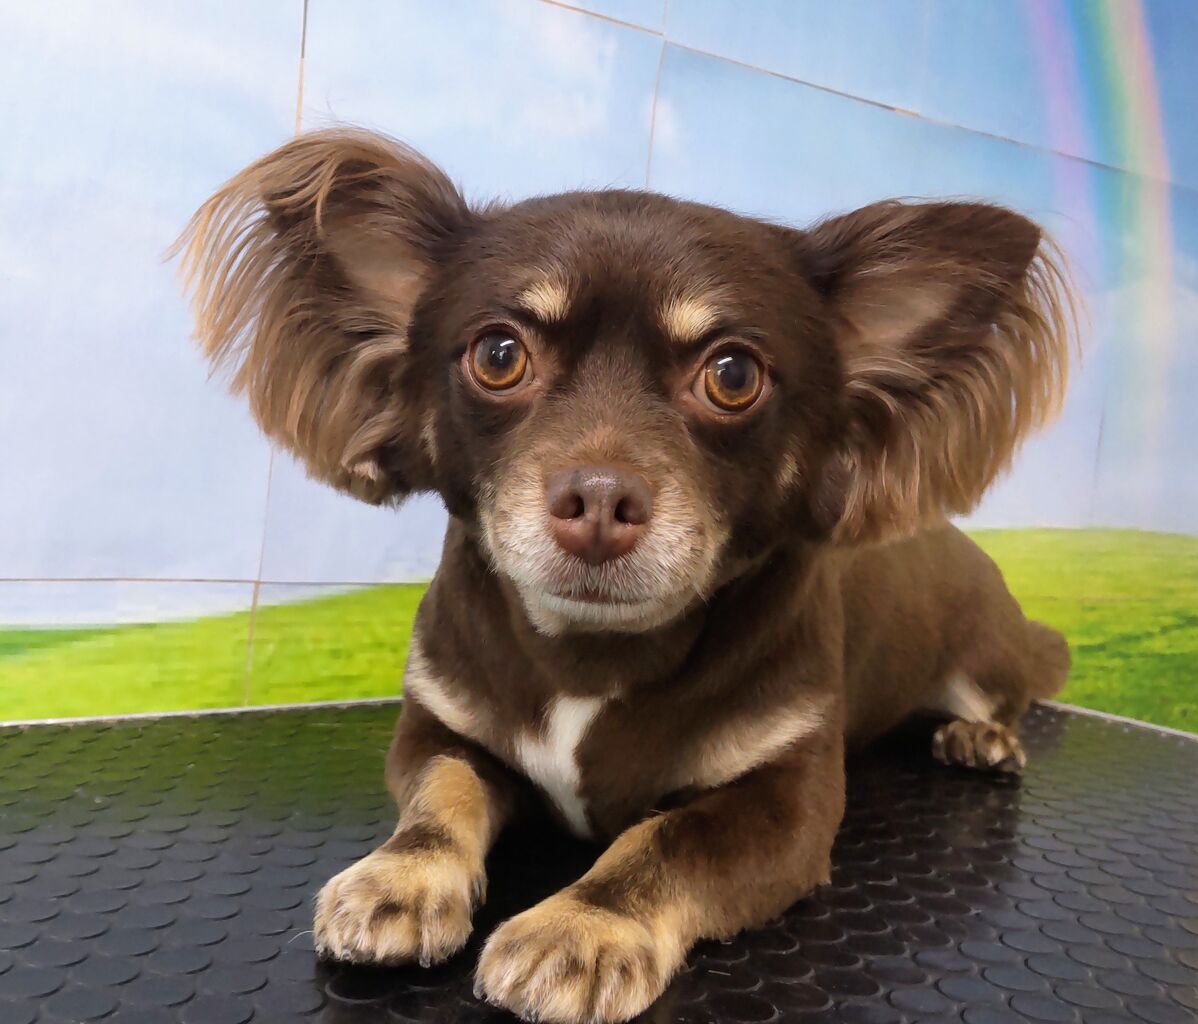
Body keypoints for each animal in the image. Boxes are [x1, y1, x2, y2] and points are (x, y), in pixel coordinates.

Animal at [177, 128, 1076, 1024]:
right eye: (499, 355)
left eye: (733, 375)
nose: (600, 499)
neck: (591, 651)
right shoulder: (441, 729)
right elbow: (442, 793)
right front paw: (402, 874)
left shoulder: (790, 802)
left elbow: (665, 839)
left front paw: (582, 926)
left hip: (987, 653)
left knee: (1009, 693)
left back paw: (981, 738)